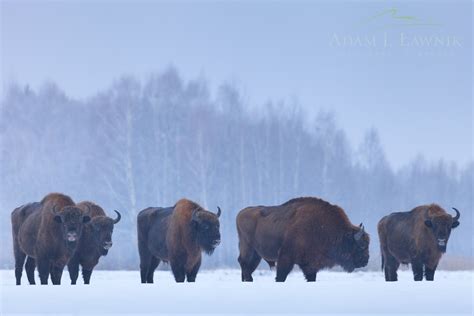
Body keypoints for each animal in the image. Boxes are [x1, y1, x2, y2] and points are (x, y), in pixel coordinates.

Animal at [237, 196, 370, 282]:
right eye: (362, 246)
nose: (365, 261)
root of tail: (241, 213)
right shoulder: (286, 257)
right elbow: (281, 276)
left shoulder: (310, 264)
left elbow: (311, 277)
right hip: (248, 248)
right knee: (243, 263)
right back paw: (250, 280)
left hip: (256, 254)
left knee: (247, 266)